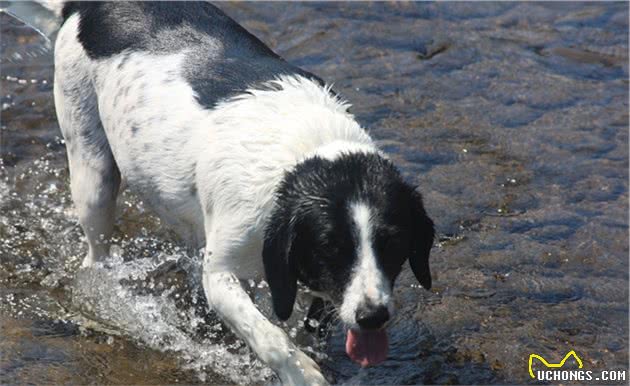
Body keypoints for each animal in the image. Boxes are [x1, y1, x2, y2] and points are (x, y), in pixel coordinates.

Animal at [54, 2, 436, 382]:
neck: (302, 158)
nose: (373, 317)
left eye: (394, 242)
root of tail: (88, 7)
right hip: (93, 175)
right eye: (330, 248)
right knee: (94, 255)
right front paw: (301, 372)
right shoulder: (219, 276)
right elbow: (270, 337)